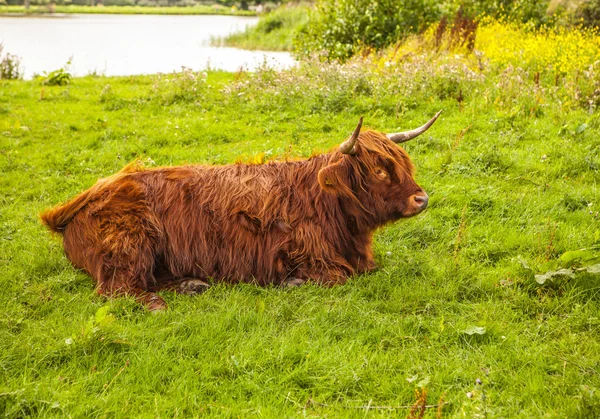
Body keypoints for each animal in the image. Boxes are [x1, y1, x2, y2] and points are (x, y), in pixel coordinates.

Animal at [41, 113, 440, 310]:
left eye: (403, 163)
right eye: (378, 170)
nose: (421, 199)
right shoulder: (310, 256)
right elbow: (336, 277)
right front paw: (293, 282)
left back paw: (192, 284)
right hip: (130, 241)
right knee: (118, 288)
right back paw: (158, 302)